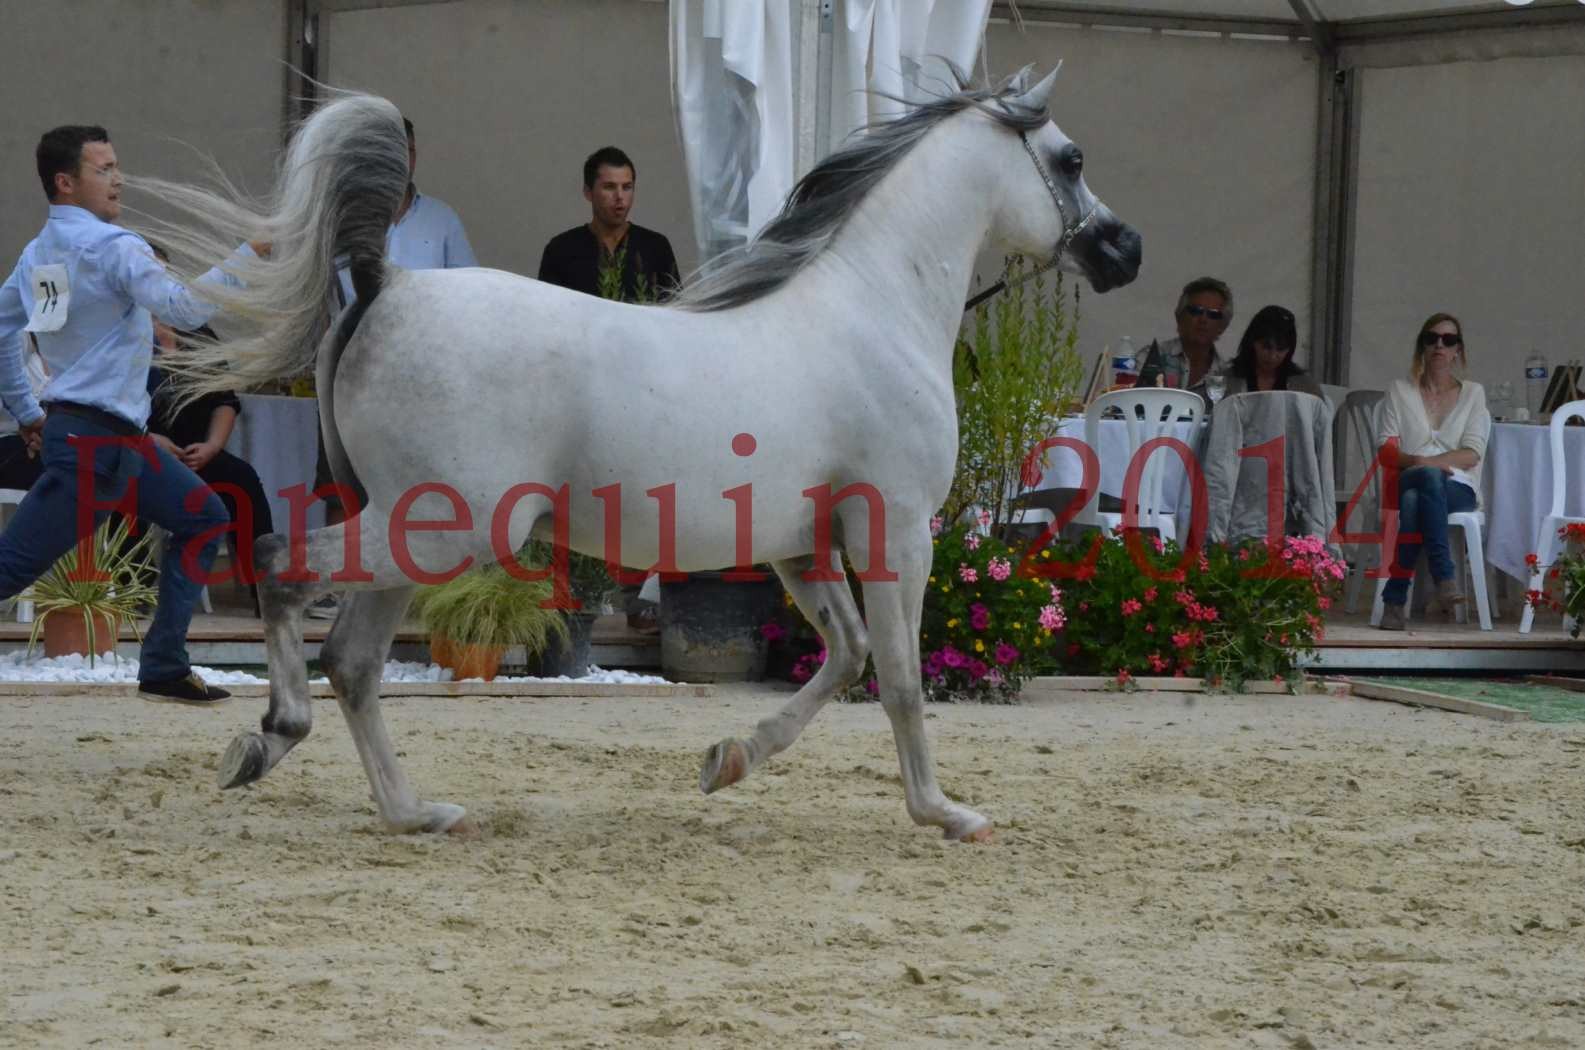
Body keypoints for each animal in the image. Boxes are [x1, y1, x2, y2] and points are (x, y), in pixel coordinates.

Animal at [148, 67, 1141, 837]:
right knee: (281, 567)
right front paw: (943, 813)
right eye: (1071, 159)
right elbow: (897, 676)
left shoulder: (800, 546)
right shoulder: (893, 529)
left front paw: (728, 759)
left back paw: (411, 811)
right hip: (437, 529)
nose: (1124, 249)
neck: (873, 311)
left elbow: (847, 655)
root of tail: (386, 283)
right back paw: (272, 737)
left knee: (352, 659)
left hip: (407, 532)